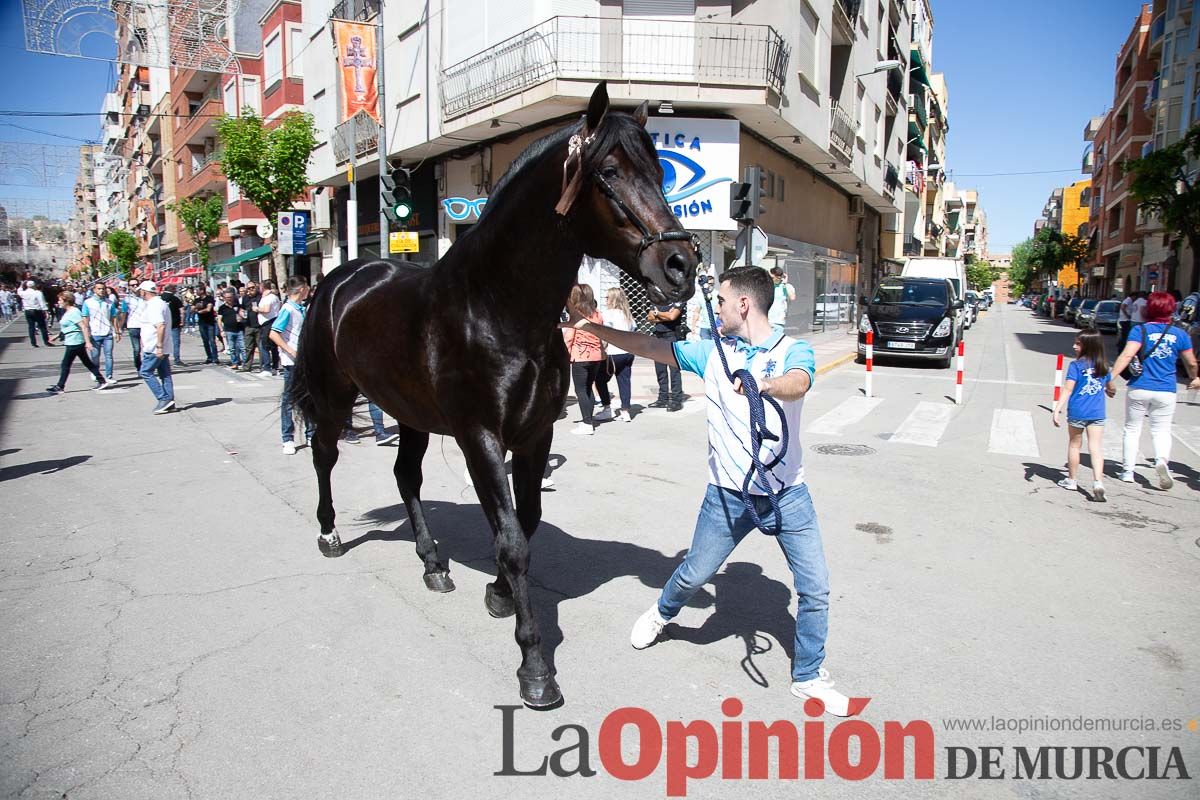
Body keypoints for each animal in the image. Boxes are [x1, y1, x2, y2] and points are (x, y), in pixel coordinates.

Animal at [290, 82, 700, 705]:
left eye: (659, 172)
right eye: (609, 171)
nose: (682, 264)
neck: (495, 309)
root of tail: (339, 279)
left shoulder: (534, 435)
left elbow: (525, 522)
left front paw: (500, 595)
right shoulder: (479, 437)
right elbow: (510, 539)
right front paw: (534, 665)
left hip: (410, 413)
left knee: (406, 477)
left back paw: (433, 564)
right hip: (337, 400)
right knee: (324, 455)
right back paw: (330, 532)